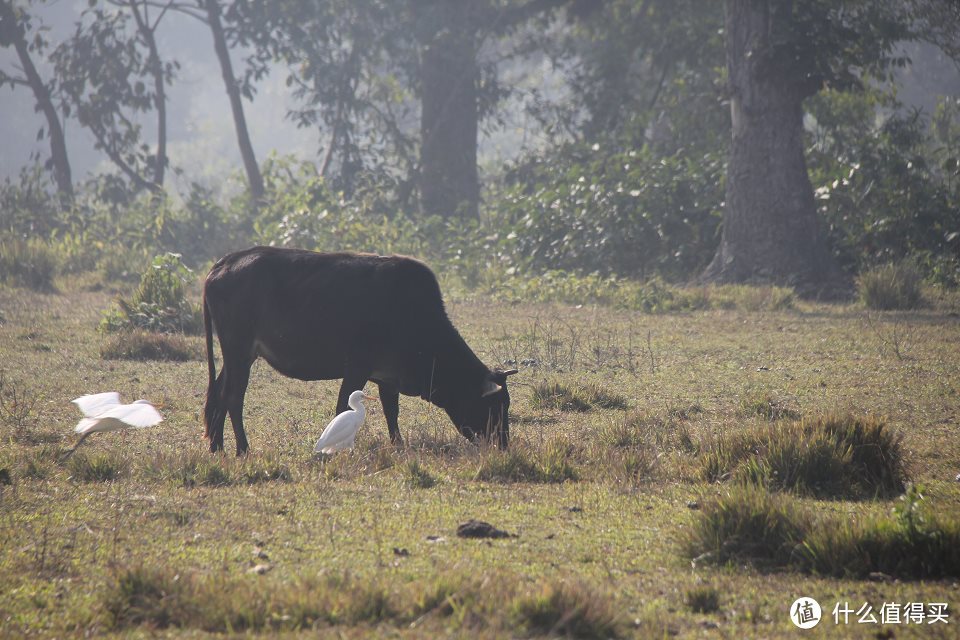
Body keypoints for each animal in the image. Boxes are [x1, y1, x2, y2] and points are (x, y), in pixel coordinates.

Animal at [202, 246, 516, 456]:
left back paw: (217, 446)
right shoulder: (356, 368)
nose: (503, 445)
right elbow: (343, 408)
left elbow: (391, 412)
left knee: (218, 393)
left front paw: (398, 444)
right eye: (495, 406)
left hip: (238, 357)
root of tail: (224, 263)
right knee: (233, 398)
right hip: (238, 351)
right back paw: (242, 448)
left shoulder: (388, 378)